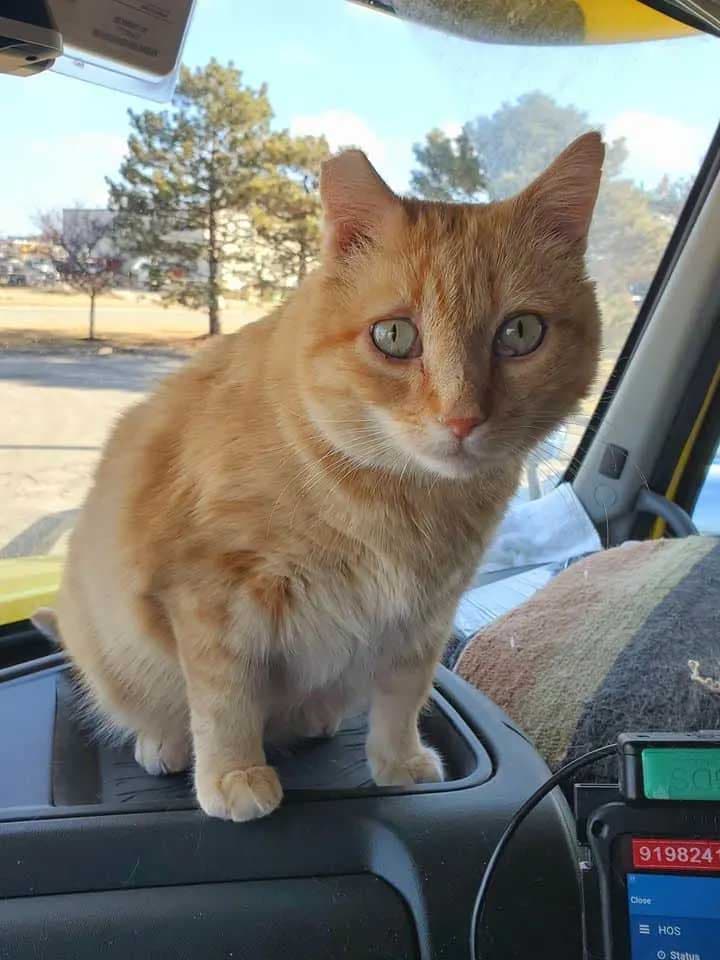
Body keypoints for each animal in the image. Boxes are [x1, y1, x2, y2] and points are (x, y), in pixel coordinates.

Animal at [39, 133, 600, 816]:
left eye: (520, 332)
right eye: (395, 335)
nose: (462, 418)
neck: (400, 501)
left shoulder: (424, 617)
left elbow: (403, 696)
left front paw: (398, 762)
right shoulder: (210, 595)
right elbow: (225, 699)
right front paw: (234, 773)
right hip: (114, 653)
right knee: (152, 710)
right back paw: (165, 743)